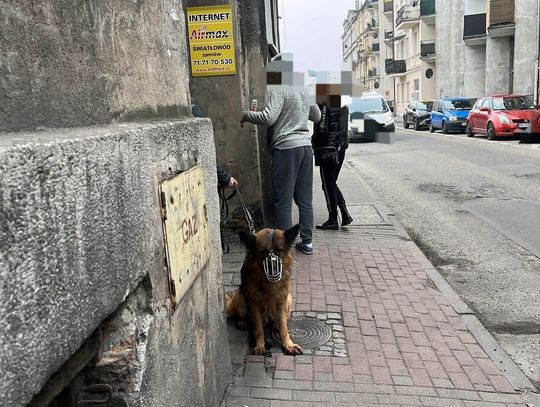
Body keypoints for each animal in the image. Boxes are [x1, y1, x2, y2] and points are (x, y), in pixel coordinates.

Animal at [226, 225, 304, 356]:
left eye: (278, 251)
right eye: (263, 252)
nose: (273, 267)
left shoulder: (282, 300)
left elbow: (283, 327)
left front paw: (289, 344)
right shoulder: (255, 304)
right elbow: (258, 328)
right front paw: (259, 345)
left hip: (289, 299)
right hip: (240, 298)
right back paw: (242, 322)